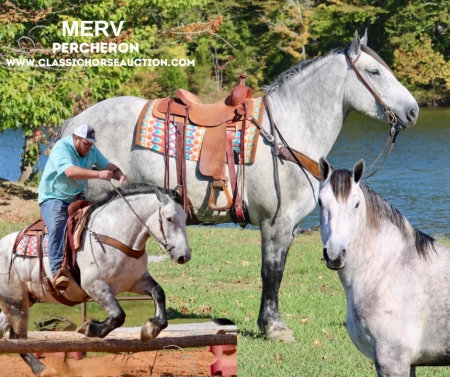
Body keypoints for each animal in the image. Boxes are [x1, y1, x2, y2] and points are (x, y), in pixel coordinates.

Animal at [0, 184, 191, 374]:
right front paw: (91, 328)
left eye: (185, 218)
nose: (184, 256)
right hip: (16, 303)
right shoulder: (94, 286)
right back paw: (44, 369)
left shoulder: (136, 281)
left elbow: (158, 292)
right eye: (169, 219)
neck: (112, 235)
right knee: (18, 338)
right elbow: (118, 315)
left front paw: (152, 327)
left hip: (22, 300)